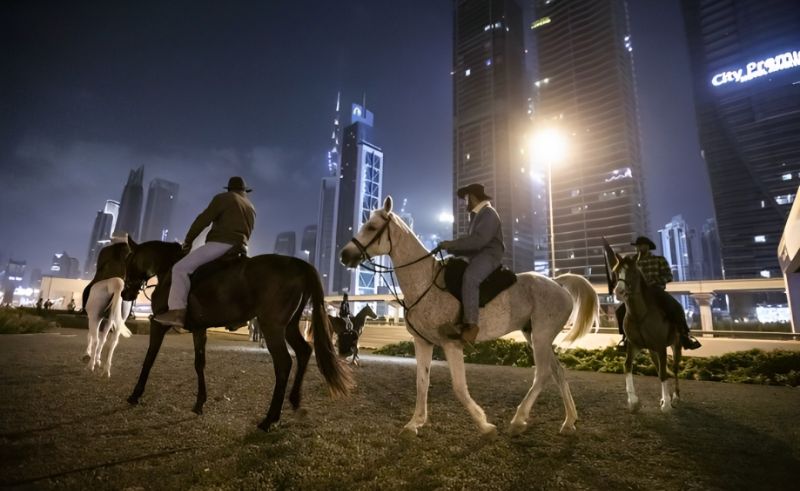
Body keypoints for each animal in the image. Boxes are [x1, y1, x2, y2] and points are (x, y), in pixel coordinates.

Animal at [120, 240, 352, 432]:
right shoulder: (199, 329)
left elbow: (149, 359)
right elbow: (199, 363)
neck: (168, 270)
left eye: (129, 260)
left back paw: (270, 419)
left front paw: (135, 394)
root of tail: (298, 264)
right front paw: (199, 403)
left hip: (272, 327)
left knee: (284, 363)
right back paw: (294, 401)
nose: (124, 293)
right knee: (304, 351)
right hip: (289, 325)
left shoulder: (158, 324)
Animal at [340, 198, 596, 436]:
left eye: (372, 227)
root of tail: (557, 282)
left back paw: (519, 419)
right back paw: (568, 421)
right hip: (534, 335)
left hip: (541, 336)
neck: (426, 282)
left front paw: (484, 424)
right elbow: (422, 383)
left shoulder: (451, 344)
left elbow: (459, 387)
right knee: (558, 372)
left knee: (542, 374)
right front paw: (415, 423)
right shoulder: (423, 342)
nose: (345, 255)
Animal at [608, 240, 680, 414]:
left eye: (633, 272)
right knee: (659, 367)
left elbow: (663, 373)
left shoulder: (661, 346)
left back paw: (675, 397)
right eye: (616, 272)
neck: (639, 315)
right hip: (652, 350)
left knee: (673, 369)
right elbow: (627, 366)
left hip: (676, 345)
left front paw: (667, 405)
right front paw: (633, 401)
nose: (619, 291)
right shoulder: (633, 344)